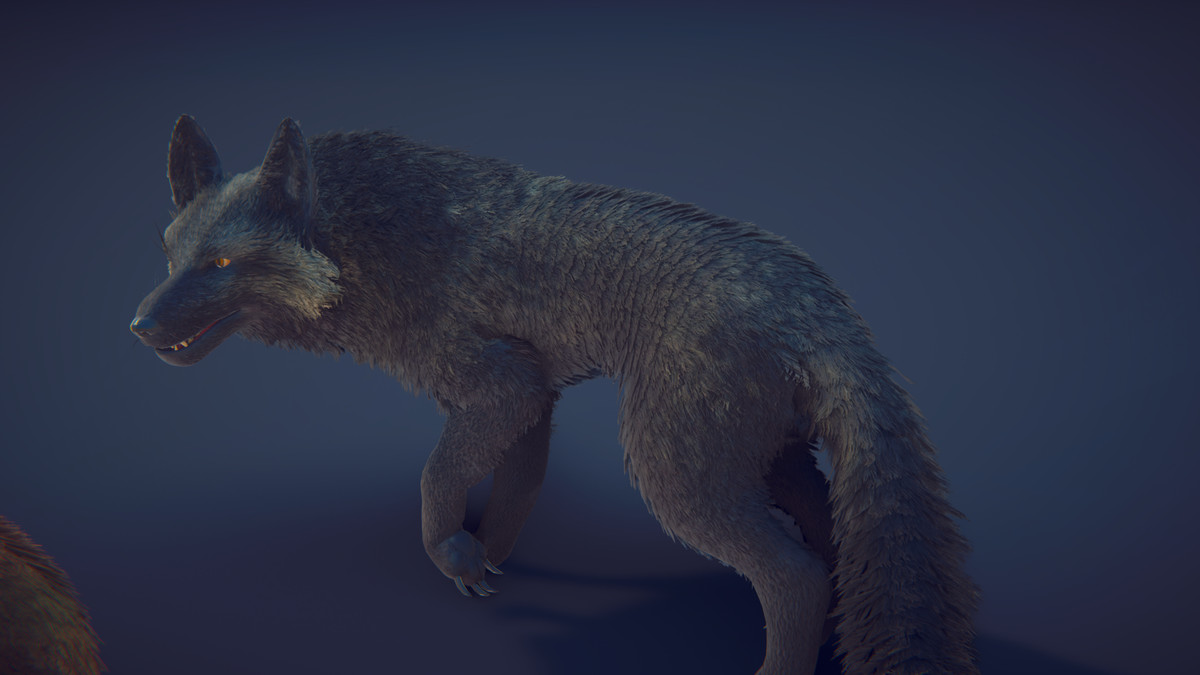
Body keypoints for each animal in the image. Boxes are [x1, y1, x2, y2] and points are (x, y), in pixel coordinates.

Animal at [130, 115, 979, 675]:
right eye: (170, 254)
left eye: (222, 263)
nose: (137, 325)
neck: (376, 242)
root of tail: (820, 304)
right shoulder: (532, 397)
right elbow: (515, 488)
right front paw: (480, 560)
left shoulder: (500, 385)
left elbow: (435, 477)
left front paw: (450, 551)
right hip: (773, 464)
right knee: (835, 551)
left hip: (676, 477)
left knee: (796, 573)